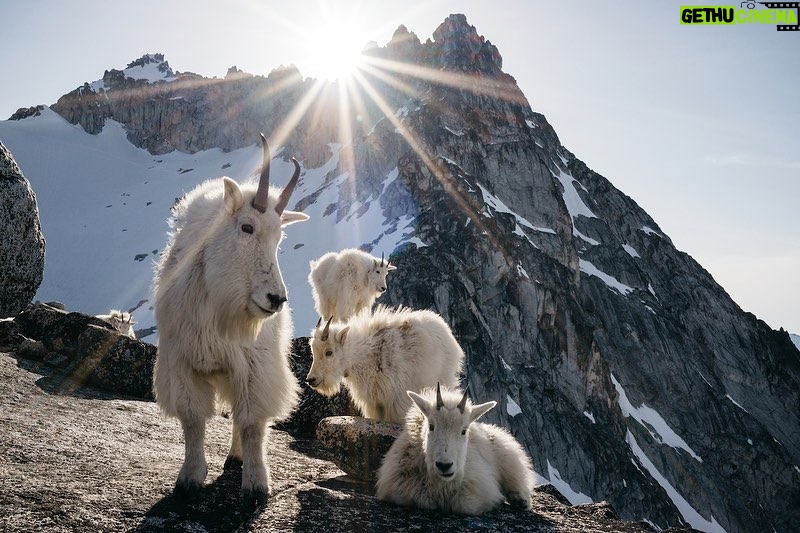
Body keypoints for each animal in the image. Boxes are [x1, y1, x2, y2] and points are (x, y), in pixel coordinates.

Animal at [152, 134, 308, 508]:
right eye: (247, 227)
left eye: (279, 238)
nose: (276, 299)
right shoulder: (182, 361)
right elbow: (193, 419)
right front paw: (189, 478)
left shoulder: (255, 365)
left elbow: (252, 423)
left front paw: (256, 486)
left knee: (241, 415)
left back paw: (237, 458)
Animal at [308, 306, 468, 422]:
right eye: (313, 351)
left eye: (329, 352)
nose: (311, 379)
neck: (366, 354)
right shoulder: (375, 403)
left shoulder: (397, 400)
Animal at [376, 382, 536, 516]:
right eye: (431, 426)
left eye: (464, 430)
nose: (444, 465)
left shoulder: (478, 486)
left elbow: (465, 505)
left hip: (507, 456)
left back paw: (520, 500)